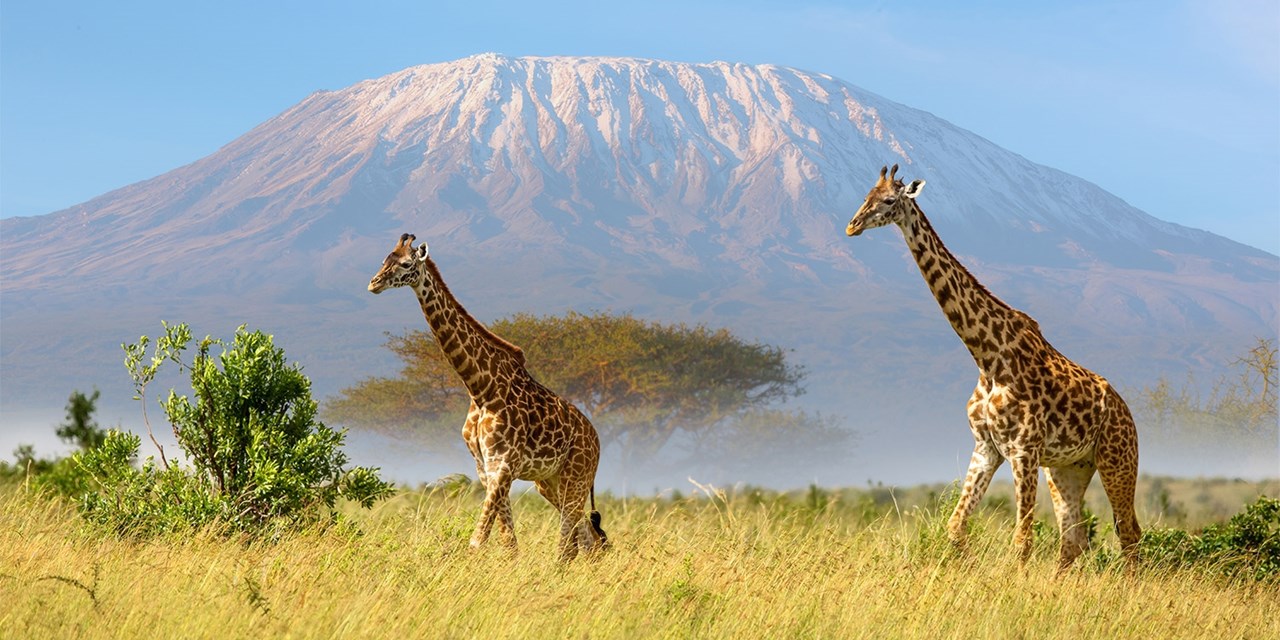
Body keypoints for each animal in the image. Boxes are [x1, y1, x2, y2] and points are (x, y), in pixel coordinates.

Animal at [368, 233, 608, 561]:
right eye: (384, 260)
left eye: (405, 264)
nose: (374, 283)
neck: (480, 388)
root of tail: (596, 440)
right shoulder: (485, 467)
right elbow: (508, 540)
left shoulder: (503, 464)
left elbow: (479, 539)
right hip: (548, 482)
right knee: (584, 534)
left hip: (576, 476)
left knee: (570, 538)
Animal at [844, 165, 1141, 572]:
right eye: (865, 196)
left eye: (889, 200)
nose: (852, 226)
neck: (988, 358)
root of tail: (1127, 412)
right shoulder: (986, 446)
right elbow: (955, 528)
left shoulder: (1023, 450)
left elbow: (1022, 541)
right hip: (1069, 468)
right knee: (1074, 540)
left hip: (1117, 461)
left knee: (1129, 535)